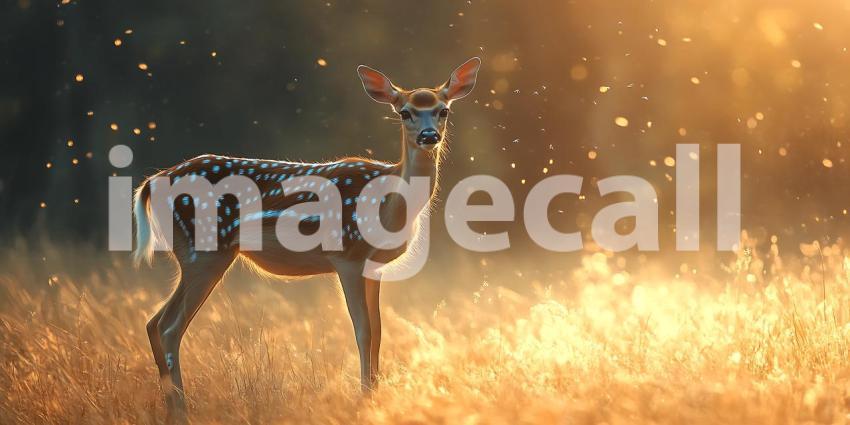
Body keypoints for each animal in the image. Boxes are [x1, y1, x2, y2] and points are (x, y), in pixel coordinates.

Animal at [132, 57, 481, 418]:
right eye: (405, 112)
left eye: (443, 110)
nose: (429, 136)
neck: (390, 202)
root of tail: (152, 183)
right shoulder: (348, 255)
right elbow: (363, 330)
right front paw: (364, 399)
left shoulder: (375, 266)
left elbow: (380, 330)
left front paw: (374, 394)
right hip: (204, 252)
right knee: (169, 326)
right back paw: (182, 411)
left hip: (197, 255)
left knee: (153, 322)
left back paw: (171, 407)